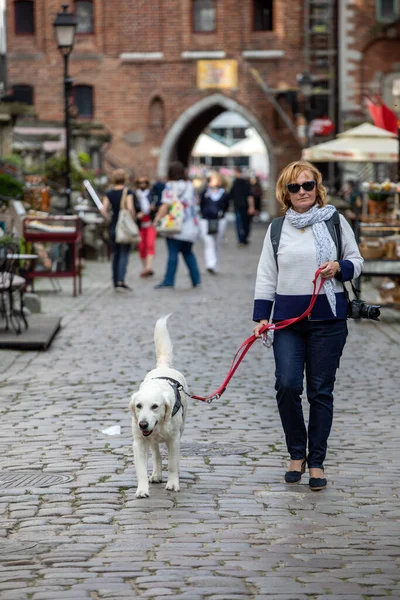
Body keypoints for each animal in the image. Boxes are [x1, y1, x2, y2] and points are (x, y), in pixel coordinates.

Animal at [130, 316, 189, 500]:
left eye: (155, 406)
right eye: (138, 406)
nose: (142, 424)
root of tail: (164, 366)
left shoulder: (174, 439)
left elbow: (172, 464)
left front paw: (173, 484)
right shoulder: (139, 442)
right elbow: (141, 470)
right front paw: (142, 490)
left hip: (181, 428)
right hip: (152, 441)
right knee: (156, 455)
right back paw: (156, 474)